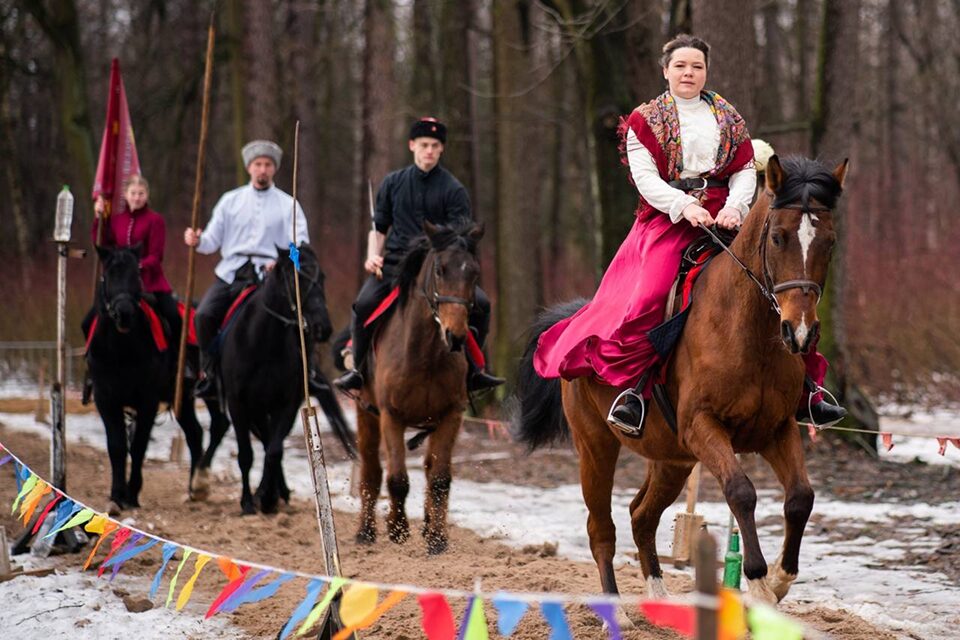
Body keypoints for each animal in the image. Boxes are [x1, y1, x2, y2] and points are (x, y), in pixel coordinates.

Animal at [86, 245, 223, 513]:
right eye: (108, 274)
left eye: (137, 274)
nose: (124, 314)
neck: (121, 349)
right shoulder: (105, 399)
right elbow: (117, 446)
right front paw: (117, 495)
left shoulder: (147, 400)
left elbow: (138, 445)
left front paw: (131, 494)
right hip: (184, 399)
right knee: (195, 433)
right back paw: (192, 489)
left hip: (209, 392)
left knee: (218, 425)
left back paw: (199, 483)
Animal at [219, 243, 355, 515]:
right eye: (296, 279)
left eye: (322, 278)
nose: (322, 327)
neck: (263, 344)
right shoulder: (238, 404)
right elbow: (246, 454)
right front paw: (248, 502)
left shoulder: (288, 405)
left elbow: (274, 450)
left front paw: (267, 497)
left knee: (269, 443)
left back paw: (277, 492)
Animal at [350, 220, 484, 554]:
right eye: (439, 269)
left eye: (474, 272)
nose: (456, 336)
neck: (424, 356)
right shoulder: (391, 416)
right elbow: (397, 479)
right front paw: (397, 529)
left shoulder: (451, 415)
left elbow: (439, 479)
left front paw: (437, 538)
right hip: (365, 413)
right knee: (371, 470)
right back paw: (366, 532)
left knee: (427, 467)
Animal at [514, 156, 848, 611]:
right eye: (779, 237)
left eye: (829, 242)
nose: (800, 333)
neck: (749, 330)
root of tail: (573, 320)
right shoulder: (703, 427)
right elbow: (741, 492)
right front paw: (758, 581)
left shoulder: (776, 430)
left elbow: (801, 497)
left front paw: (781, 579)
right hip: (596, 447)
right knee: (601, 529)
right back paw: (615, 611)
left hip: (672, 459)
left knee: (641, 515)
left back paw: (657, 597)